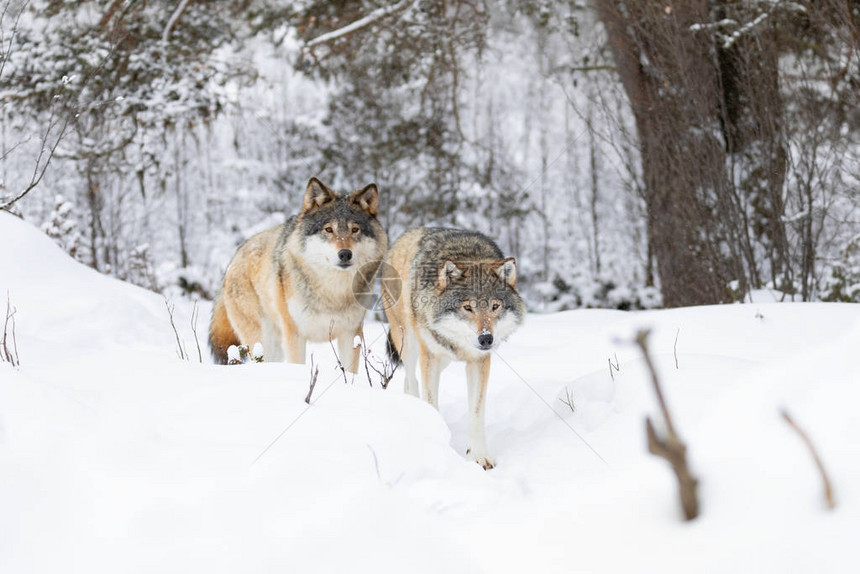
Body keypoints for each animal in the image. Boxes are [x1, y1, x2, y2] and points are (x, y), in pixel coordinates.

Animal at [208, 178, 386, 374]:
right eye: (328, 229)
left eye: (355, 229)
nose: (345, 254)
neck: (332, 292)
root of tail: (234, 257)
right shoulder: (294, 334)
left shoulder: (351, 334)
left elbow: (349, 372)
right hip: (263, 341)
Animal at [382, 227, 524, 470]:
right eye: (467, 307)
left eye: (495, 306)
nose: (486, 339)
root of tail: (403, 237)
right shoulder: (429, 356)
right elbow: (431, 400)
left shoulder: (478, 362)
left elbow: (476, 413)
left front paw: (479, 456)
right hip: (409, 343)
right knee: (411, 380)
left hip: (442, 359)